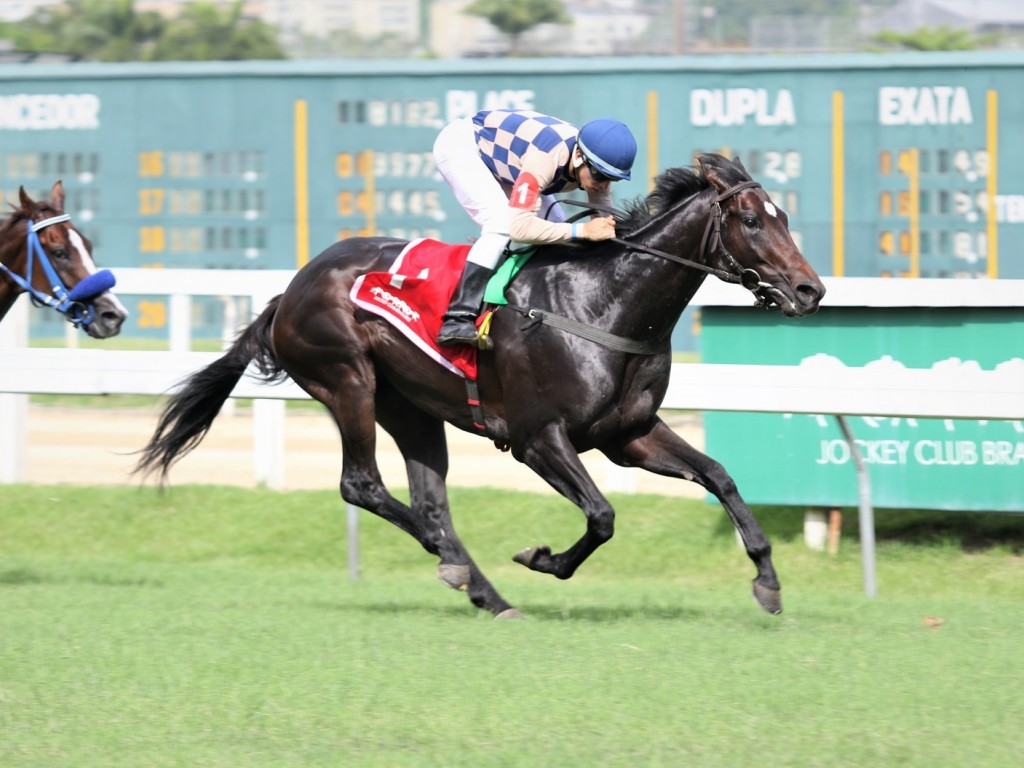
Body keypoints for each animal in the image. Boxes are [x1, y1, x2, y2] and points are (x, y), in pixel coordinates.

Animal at [136, 154, 823, 618]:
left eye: (784, 216)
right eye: (750, 221)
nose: (809, 289)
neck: (605, 302)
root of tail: (290, 290)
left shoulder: (628, 435)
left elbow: (719, 476)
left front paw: (767, 581)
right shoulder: (537, 437)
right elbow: (602, 516)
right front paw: (543, 559)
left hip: (410, 408)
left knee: (429, 500)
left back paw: (480, 587)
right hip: (347, 380)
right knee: (363, 485)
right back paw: (452, 562)